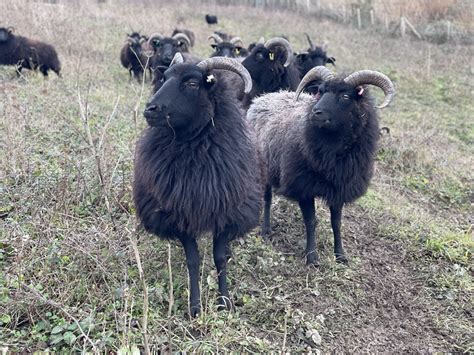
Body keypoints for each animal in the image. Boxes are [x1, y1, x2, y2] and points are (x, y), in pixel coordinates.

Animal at [133, 53, 264, 318]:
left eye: (192, 83)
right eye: (164, 77)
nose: (150, 109)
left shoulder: (225, 213)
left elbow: (219, 258)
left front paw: (224, 302)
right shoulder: (181, 215)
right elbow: (193, 260)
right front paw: (195, 306)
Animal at [246, 65, 394, 266]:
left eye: (345, 96)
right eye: (320, 92)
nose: (315, 112)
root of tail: (263, 98)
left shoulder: (340, 189)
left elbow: (336, 223)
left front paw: (340, 255)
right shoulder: (304, 187)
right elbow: (311, 222)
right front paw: (311, 257)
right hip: (265, 167)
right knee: (267, 198)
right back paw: (266, 230)